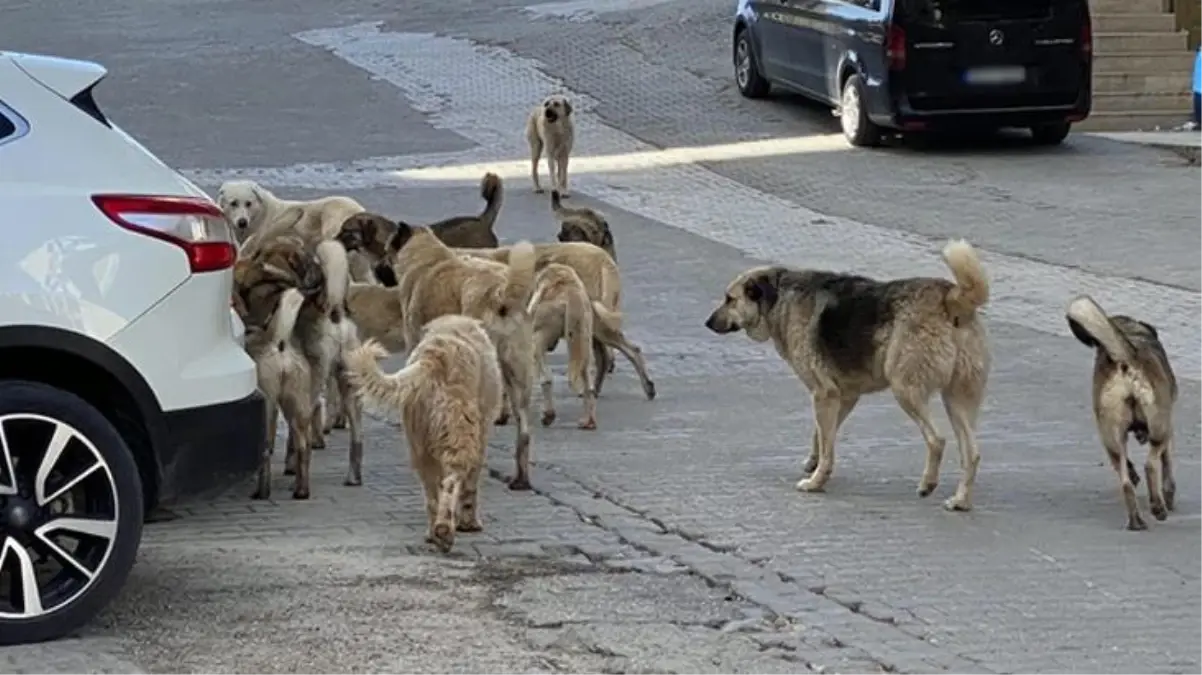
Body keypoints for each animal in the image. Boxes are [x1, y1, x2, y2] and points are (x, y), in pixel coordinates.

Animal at [375, 220, 540, 487]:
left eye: (386, 250)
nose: (377, 269)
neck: (426, 257)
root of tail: (501, 294)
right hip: (518, 374)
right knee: (523, 431)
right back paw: (520, 479)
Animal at [526, 260, 620, 427]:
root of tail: (570, 293)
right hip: (582, 339)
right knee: (587, 383)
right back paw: (588, 420)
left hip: (540, 338)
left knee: (546, 377)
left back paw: (549, 414)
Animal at [701, 239, 990, 506]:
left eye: (729, 299)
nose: (707, 323)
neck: (780, 297)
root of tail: (950, 297)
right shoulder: (843, 396)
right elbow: (821, 436)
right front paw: (814, 463)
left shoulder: (823, 393)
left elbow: (827, 444)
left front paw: (816, 481)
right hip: (957, 400)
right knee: (972, 452)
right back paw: (960, 501)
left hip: (906, 390)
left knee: (937, 439)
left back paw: (928, 484)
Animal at [1067, 296, 1177, 528]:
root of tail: (1125, 360)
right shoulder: (1168, 428)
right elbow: (1167, 464)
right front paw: (1169, 494)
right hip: (1160, 428)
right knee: (1151, 465)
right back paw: (1158, 507)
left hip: (1111, 436)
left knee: (1125, 481)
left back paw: (1136, 520)